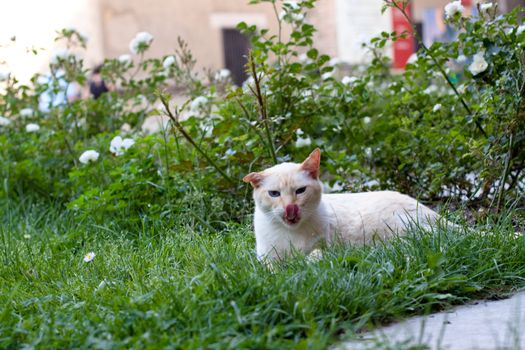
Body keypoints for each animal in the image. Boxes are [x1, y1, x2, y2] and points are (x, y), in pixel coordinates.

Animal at [242, 148, 442, 260]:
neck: (291, 233)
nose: (291, 208)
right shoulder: (266, 259)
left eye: (300, 191)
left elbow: (310, 259)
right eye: (274, 194)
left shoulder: (325, 248)